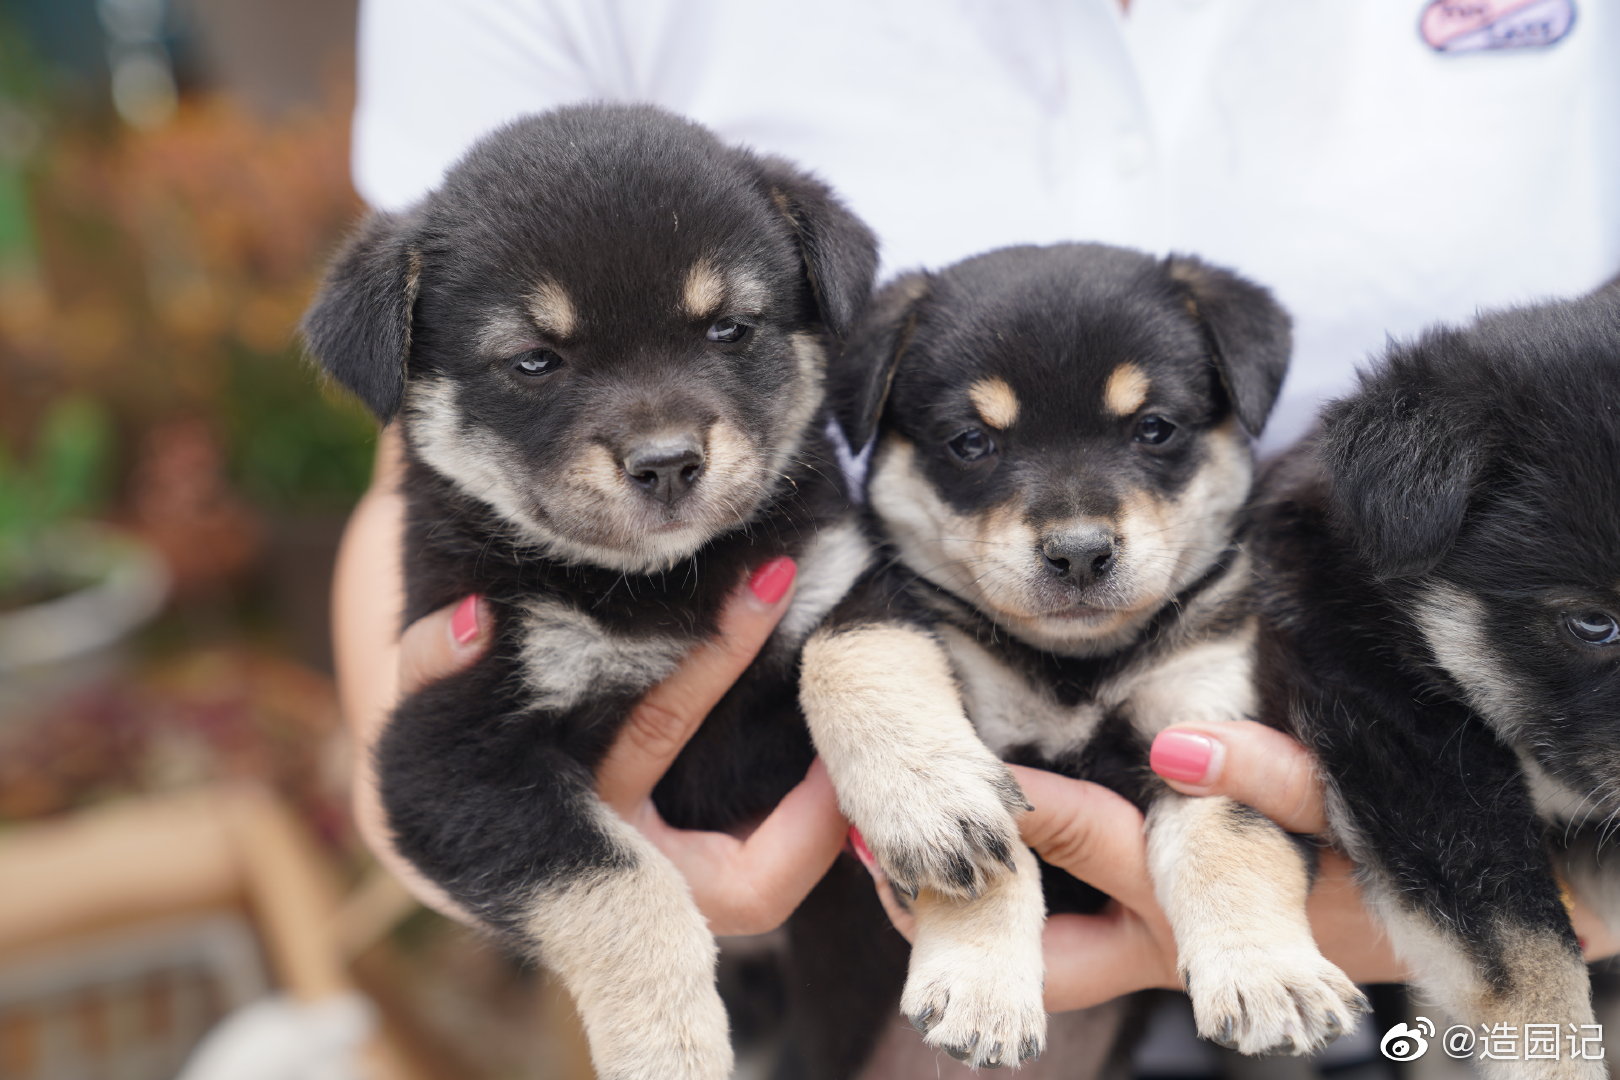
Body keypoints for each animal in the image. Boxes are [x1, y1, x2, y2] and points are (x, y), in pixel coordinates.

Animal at [304, 103, 887, 1080]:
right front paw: (671, 1046)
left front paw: (935, 801)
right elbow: (622, 885)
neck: (659, 586)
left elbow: (860, 656)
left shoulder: (834, 578)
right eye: (536, 361)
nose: (668, 463)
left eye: (728, 329)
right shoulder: (444, 754)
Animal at [803, 242, 1373, 1062]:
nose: (1078, 553)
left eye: (1154, 428)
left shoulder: (1214, 729)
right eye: (971, 442)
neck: (1078, 666)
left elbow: (1234, 843)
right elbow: (981, 855)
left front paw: (1271, 978)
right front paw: (980, 987)